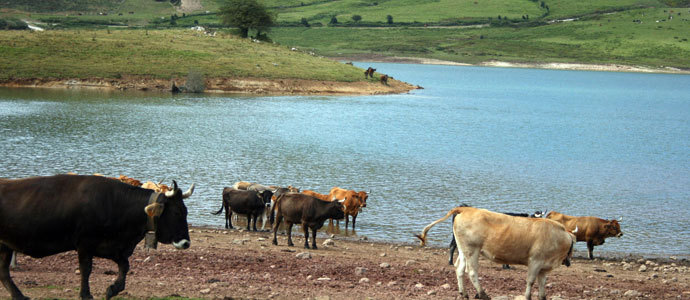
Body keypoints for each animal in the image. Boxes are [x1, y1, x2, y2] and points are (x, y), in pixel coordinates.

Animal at [0, 173, 194, 300]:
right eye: (177, 212)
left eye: (186, 211)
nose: (186, 243)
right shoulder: (85, 244)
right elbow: (86, 269)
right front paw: (86, 294)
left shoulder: (111, 246)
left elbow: (125, 266)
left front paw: (113, 289)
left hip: (5, 246)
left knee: (3, 272)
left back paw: (19, 295)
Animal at [414, 206, 576, 300]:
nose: (569, 261)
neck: (557, 235)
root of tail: (467, 209)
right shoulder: (535, 261)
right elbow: (530, 281)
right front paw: (527, 296)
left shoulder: (544, 267)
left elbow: (542, 284)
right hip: (472, 250)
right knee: (471, 272)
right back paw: (482, 294)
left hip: (463, 249)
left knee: (459, 268)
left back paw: (463, 293)